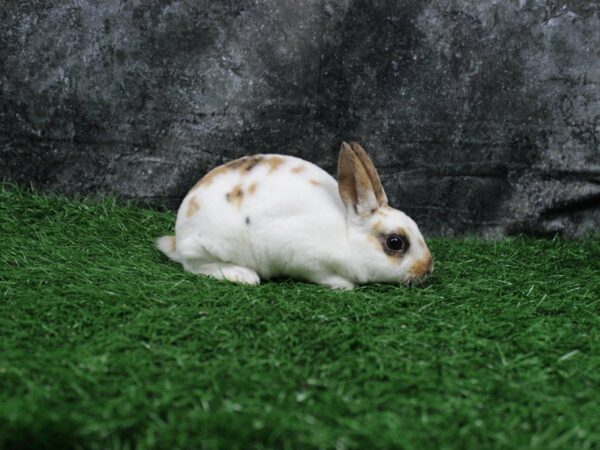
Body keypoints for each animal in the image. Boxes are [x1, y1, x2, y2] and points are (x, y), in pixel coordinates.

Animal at [157, 142, 434, 288]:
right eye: (395, 243)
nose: (428, 268)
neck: (347, 236)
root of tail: (178, 237)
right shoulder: (305, 258)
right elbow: (326, 276)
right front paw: (344, 285)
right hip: (207, 247)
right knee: (194, 265)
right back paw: (244, 275)